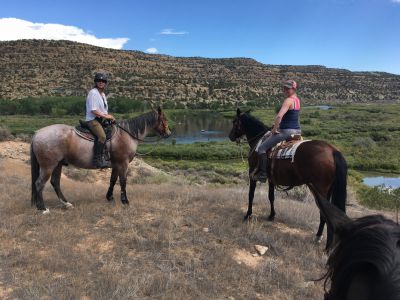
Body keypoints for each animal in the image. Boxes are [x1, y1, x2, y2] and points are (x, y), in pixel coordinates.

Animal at [30, 108, 170, 213]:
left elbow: (113, 180)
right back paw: (42, 208)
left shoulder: (116, 164)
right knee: (39, 183)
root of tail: (37, 133)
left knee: (55, 183)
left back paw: (66, 204)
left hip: (58, 164)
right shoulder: (123, 163)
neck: (125, 135)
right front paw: (125, 201)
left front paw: (110, 197)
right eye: (164, 119)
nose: (168, 133)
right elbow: (123, 181)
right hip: (48, 166)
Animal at [230, 109, 348, 250]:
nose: (230, 136)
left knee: (324, 214)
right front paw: (271, 216)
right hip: (328, 190)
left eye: (234, 122)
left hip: (319, 191)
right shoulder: (271, 179)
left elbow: (251, 195)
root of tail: (333, 151)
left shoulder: (252, 174)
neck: (258, 141)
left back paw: (323, 241)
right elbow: (271, 197)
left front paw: (248, 215)